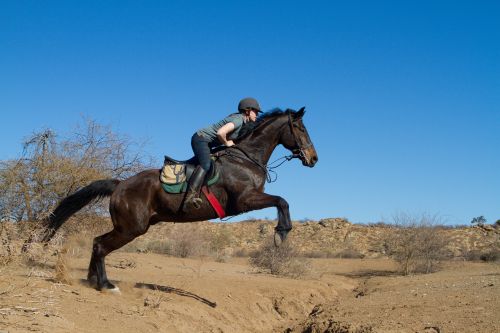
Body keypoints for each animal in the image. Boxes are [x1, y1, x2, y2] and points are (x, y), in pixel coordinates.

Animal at [24, 107, 316, 290]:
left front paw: (281, 233)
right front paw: (281, 233)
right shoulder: (245, 200)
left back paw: (92, 280)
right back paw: (105, 284)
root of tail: (120, 184)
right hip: (132, 228)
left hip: (133, 226)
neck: (246, 157)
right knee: (100, 246)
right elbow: (282, 200)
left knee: (97, 242)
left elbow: (281, 200)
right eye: (300, 128)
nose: (314, 159)